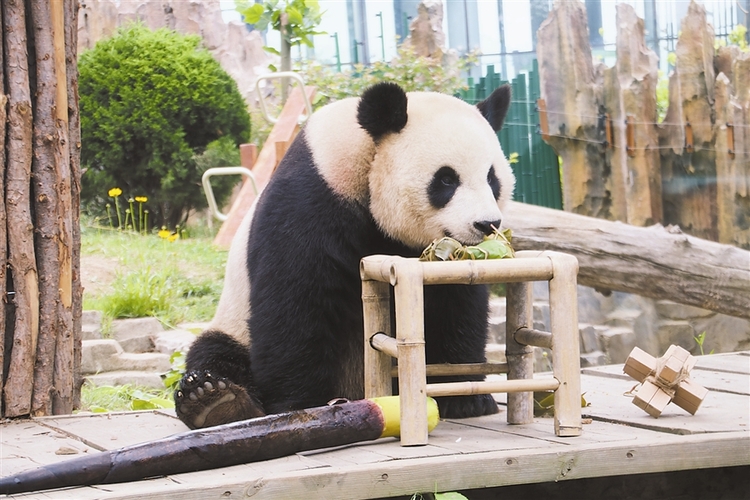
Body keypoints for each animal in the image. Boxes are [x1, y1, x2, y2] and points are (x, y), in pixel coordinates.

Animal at [176, 82, 516, 430]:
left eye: (492, 178)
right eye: (446, 179)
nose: (486, 224)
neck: (365, 154)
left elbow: (457, 307)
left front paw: (465, 398)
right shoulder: (311, 199)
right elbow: (296, 300)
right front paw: (299, 403)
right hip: (233, 320)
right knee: (215, 351)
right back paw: (214, 399)